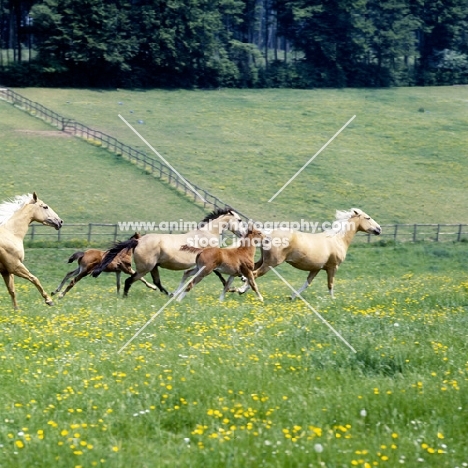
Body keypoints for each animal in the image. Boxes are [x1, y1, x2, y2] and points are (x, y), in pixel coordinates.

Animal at [91, 208, 245, 296]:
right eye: (239, 220)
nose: (243, 234)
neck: (207, 233)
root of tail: (138, 241)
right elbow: (220, 275)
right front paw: (235, 287)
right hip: (145, 268)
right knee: (130, 281)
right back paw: (125, 297)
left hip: (153, 267)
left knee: (157, 282)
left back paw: (169, 294)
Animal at [238, 209, 380, 298]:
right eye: (368, 217)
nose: (379, 229)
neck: (337, 239)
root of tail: (267, 233)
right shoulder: (332, 267)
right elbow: (330, 284)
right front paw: (332, 300)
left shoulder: (316, 268)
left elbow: (307, 283)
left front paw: (292, 296)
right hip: (271, 263)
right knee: (255, 274)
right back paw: (241, 290)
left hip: (263, 260)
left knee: (251, 272)